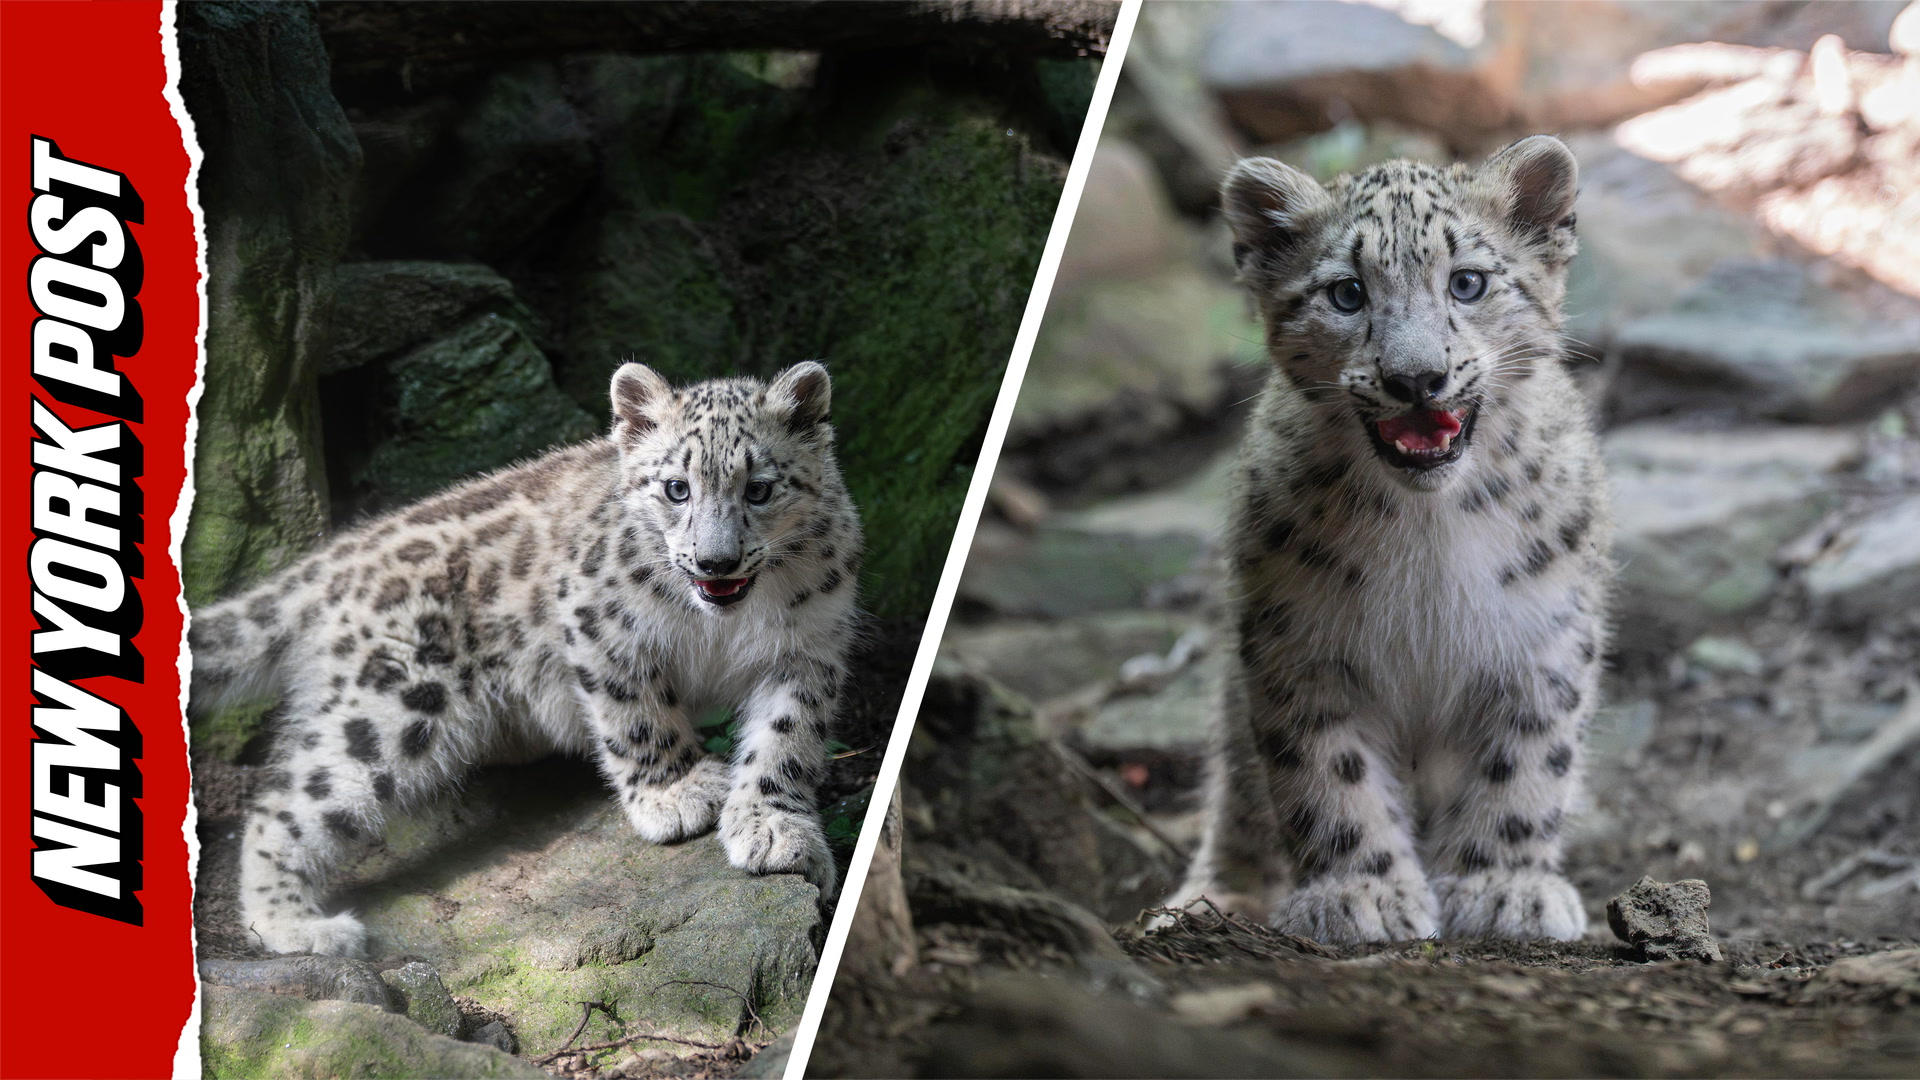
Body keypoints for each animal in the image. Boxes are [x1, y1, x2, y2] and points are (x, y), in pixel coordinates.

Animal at [189, 361, 861, 956]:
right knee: (285, 801)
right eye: (677, 487)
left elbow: (788, 738)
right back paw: (300, 928)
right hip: (394, 703)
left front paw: (775, 829)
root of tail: (338, 555)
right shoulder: (600, 622)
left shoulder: (809, 649)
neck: (723, 626)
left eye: (759, 488)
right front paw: (677, 793)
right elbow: (636, 714)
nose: (715, 562)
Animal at [1165, 135, 1613, 944]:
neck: (1429, 530)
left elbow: (1528, 761)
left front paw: (1505, 887)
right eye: (1347, 293)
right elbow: (1325, 771)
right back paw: (1213, 898)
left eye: (1467, 282)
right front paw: (1361, 895)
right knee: (1236, 793)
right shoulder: (1299, 640)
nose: (1417, 378)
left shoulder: (1542, 634)